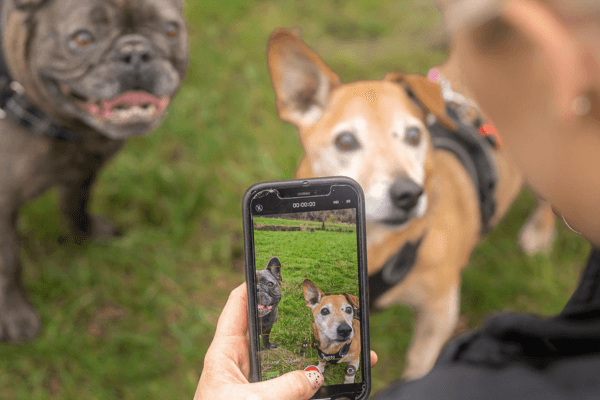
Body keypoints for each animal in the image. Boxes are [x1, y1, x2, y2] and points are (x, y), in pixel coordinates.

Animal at [0, 0, 188, 344]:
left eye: (171, 30)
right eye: (82, 38)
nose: (135, 53)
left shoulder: (87, 167)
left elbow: (76, 202)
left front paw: (87, 234)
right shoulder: (2, 205)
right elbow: (7, 262)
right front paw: (15, 315)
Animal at [270, 29, 556, 380]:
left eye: (414, 135)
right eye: (345, 141)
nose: (408, 194)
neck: (379, 245)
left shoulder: (440, 311)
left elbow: (418, 364)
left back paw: (540, 232)